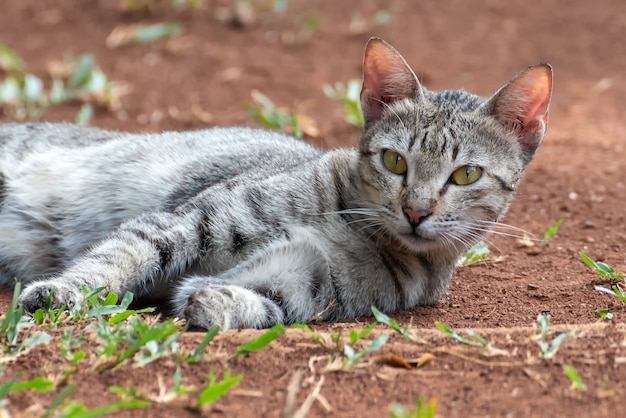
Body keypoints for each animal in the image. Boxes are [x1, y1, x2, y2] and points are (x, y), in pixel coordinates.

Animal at [0, 37, 548, 330]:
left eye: (466, 174)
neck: (358, 229)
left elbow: (264, 304)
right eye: (395, 161)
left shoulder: (308, 282)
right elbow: (122, 256)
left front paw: (213, 303)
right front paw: (62, 292)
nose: (416, 211)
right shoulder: (195, 219)